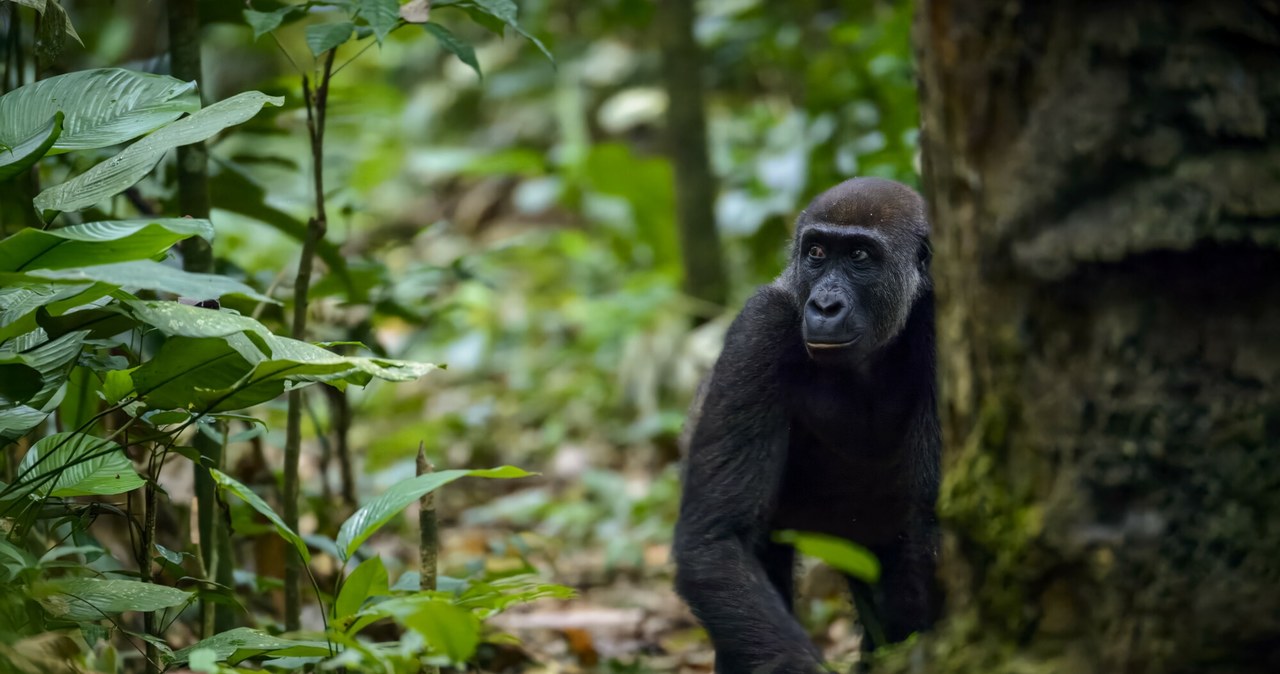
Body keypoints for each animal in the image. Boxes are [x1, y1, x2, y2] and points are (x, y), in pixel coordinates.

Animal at [670, 176, 942, 670]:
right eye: (816, 252)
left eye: (859, 256)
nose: (825, 305)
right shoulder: (760, 324)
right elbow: (716, 541)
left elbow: (935, 525)